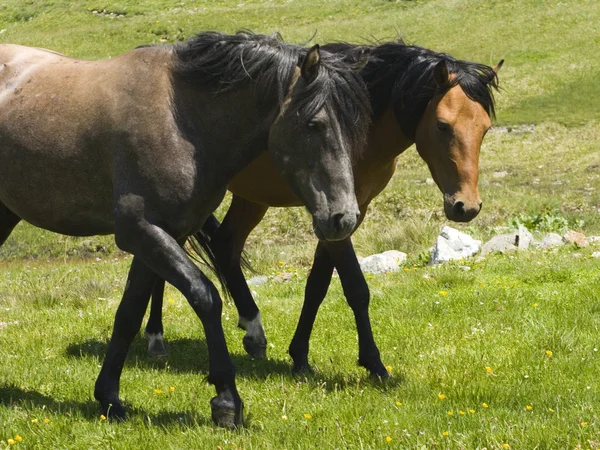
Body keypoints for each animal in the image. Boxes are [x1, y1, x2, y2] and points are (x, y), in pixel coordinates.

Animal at [0, 30, 372, 426]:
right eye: (315, 124)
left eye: (354, 128)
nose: (344, 217)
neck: (182, 121)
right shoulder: (140, 231)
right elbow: (205, 297)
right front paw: (226, 400)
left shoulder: (162, 236)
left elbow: (129, 314)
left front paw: (109, 398)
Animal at [144, 40, 502, 380]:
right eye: (442, 125)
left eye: (485, 128)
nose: (466, 206)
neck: (362, 128)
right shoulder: (334, 213)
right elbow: (356, 288)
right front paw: (374, 364)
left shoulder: (346, 215)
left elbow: (317, 285)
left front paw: (300, 356)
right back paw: (155, 337)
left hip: (251, 200)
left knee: (224, 246)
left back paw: (250, 329)